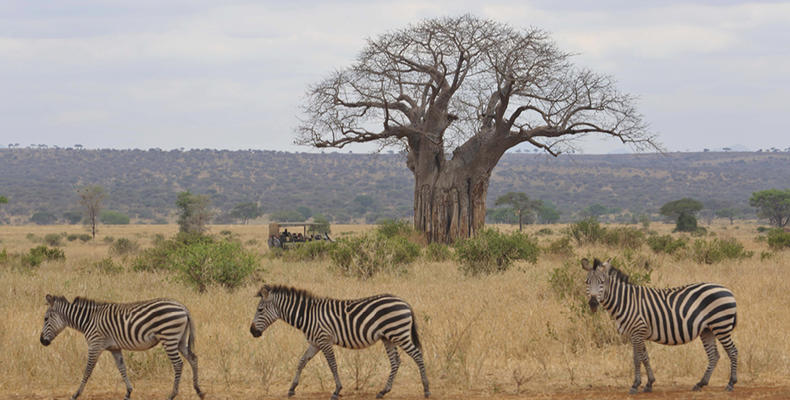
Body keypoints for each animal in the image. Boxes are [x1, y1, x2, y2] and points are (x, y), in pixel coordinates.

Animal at [40, 294, 206, 400]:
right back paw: (199, 391)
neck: (88, 321)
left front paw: (76, 394)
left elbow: (87, 370)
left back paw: (172, 394)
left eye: (46, 319)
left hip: (169, 337)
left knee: (178, 364)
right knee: (193, 359)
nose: (42, 341)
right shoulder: (115, 348)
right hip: (180, 340)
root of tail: (182, 307)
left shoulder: (95, 345)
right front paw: (128, 392)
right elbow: (122, 368)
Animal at [251, 284, 430, 400]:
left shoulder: (324, 340)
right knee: (395, 361)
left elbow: (332, 364)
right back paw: (383, 391)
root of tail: (404, 302)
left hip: (399, 333)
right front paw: (292, 388)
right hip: (389, 337)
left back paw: (426, 389)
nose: (252, 332)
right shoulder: (315, 343)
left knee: (418, 355)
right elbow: (301, 361)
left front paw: (337, 390)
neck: (308, 315)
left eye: (260, 310)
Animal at [580, 260, 744, 394]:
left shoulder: (637, 331)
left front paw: (635, 385)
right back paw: (700, 383)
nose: (593, 303)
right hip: (707, 330)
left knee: (733, 351)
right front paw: (649, 384)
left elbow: (636, 358)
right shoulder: (638, 333)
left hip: (721, 326)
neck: (625, 301)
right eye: (587, 282)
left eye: (602, 282)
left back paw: (731, 383)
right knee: (714, 355)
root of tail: (727, 290)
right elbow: (645, 357)